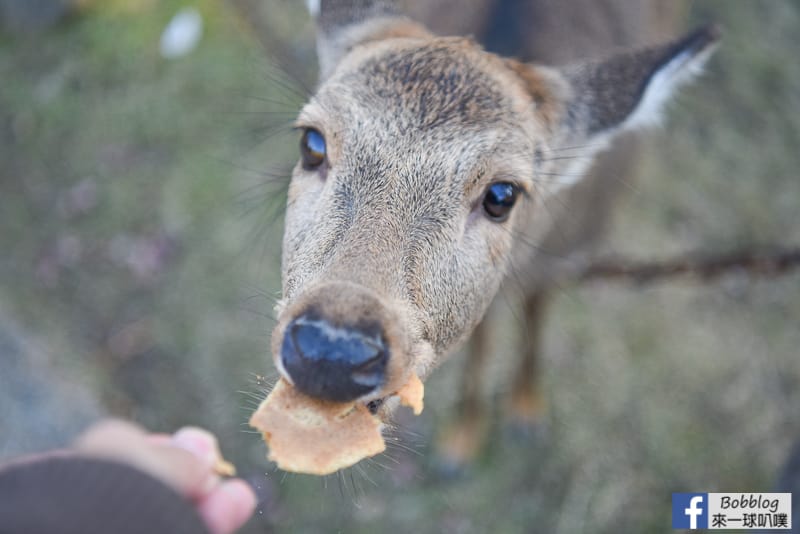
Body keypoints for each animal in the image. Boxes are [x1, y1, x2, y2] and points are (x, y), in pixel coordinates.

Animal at [266, 0, 716, 468]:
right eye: (312, 143)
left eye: (502, 195)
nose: (331, 350)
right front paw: (462, 442)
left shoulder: (568, 254)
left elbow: (535, 313)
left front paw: (526, 412)